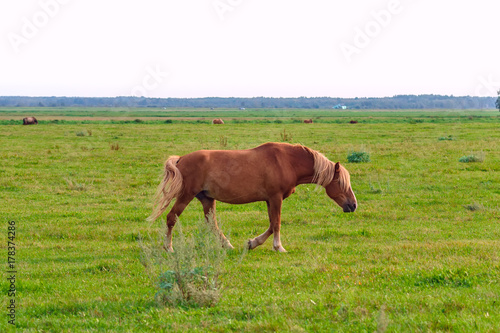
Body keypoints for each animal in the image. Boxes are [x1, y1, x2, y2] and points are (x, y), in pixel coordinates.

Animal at [147, 141, 356, 252]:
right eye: (341, 182)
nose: (353, 205)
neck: (287, 162)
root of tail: (181, 159)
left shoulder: (270, 200)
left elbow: (271, 224)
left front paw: (252, 243)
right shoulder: (275, 198)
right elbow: (277, 224)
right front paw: (278, 247)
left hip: (207, 199)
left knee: (212, 224)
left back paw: (227, 245)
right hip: (186, 195)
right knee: (171, 217)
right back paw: (169, 247)